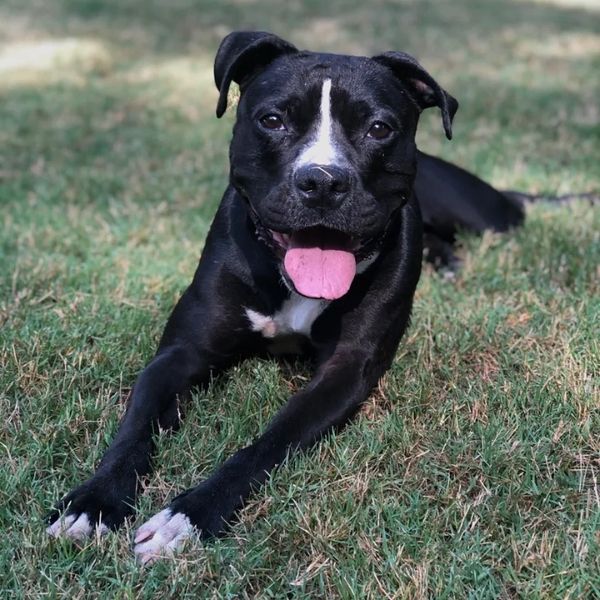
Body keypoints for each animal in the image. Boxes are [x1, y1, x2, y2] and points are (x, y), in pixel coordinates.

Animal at [47, 29, 524, 564]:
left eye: (379, 128)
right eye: (272, 120)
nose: (322, 181)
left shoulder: (344, 373)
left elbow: (269, 441)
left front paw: (187, 516)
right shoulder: (179, 354)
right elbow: (134, 427)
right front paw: (93, 502)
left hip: (484, 217)